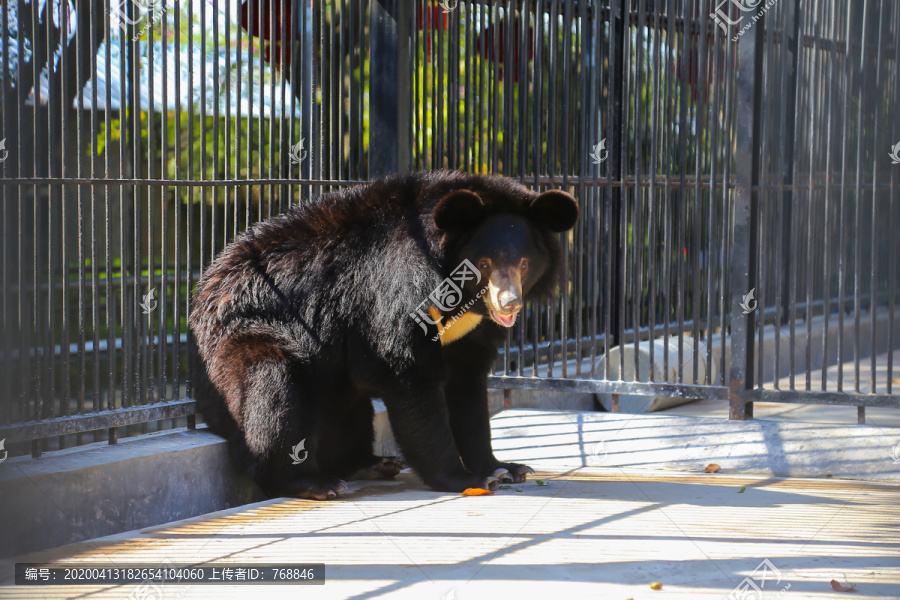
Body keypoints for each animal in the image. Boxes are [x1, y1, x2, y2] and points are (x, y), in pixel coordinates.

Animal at [191, 171, 580, 500]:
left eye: (524, 264)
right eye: (484, 264)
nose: (509, 303)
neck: (457, 295)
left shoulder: (471, 333)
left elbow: (467, 389)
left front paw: (504, 468)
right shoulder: (396, 285)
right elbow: (408, 372)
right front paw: (467, 479)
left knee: (346, 409)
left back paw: (371, 464)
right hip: (245, 339)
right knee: (272, 392)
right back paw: (314, 482)